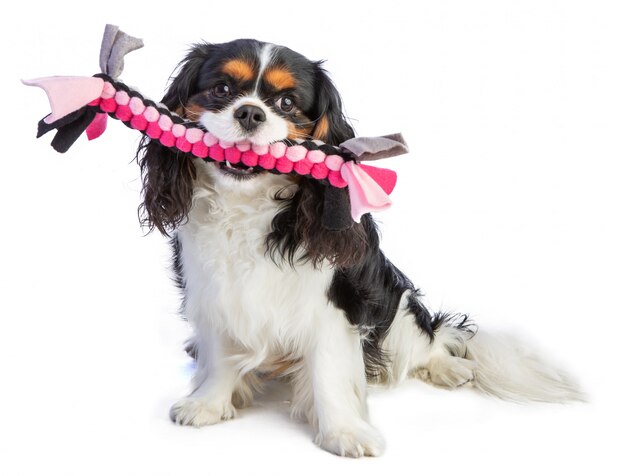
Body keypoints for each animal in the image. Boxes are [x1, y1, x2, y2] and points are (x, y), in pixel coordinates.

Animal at [135, 41, 580, 458]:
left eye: (287, 103)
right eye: (222, 89)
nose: (249, 113)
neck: (249, 206)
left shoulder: (336, 304)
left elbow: (330, 373)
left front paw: (342, 432)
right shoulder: (213, 290)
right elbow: (220, 354)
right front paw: (208, 403)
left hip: (396, 302)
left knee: (428, 341)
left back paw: (449, 367)